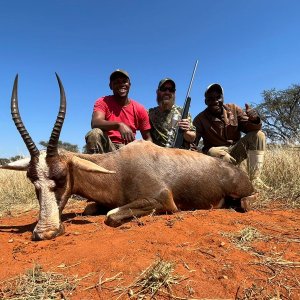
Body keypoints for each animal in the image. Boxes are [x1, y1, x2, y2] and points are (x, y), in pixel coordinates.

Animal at [1, 75, 256, 241]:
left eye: (62, 177)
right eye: (32, 179)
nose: (44, 232)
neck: (118, 168)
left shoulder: (163, 200)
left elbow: (112, 215)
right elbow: (90, 209)